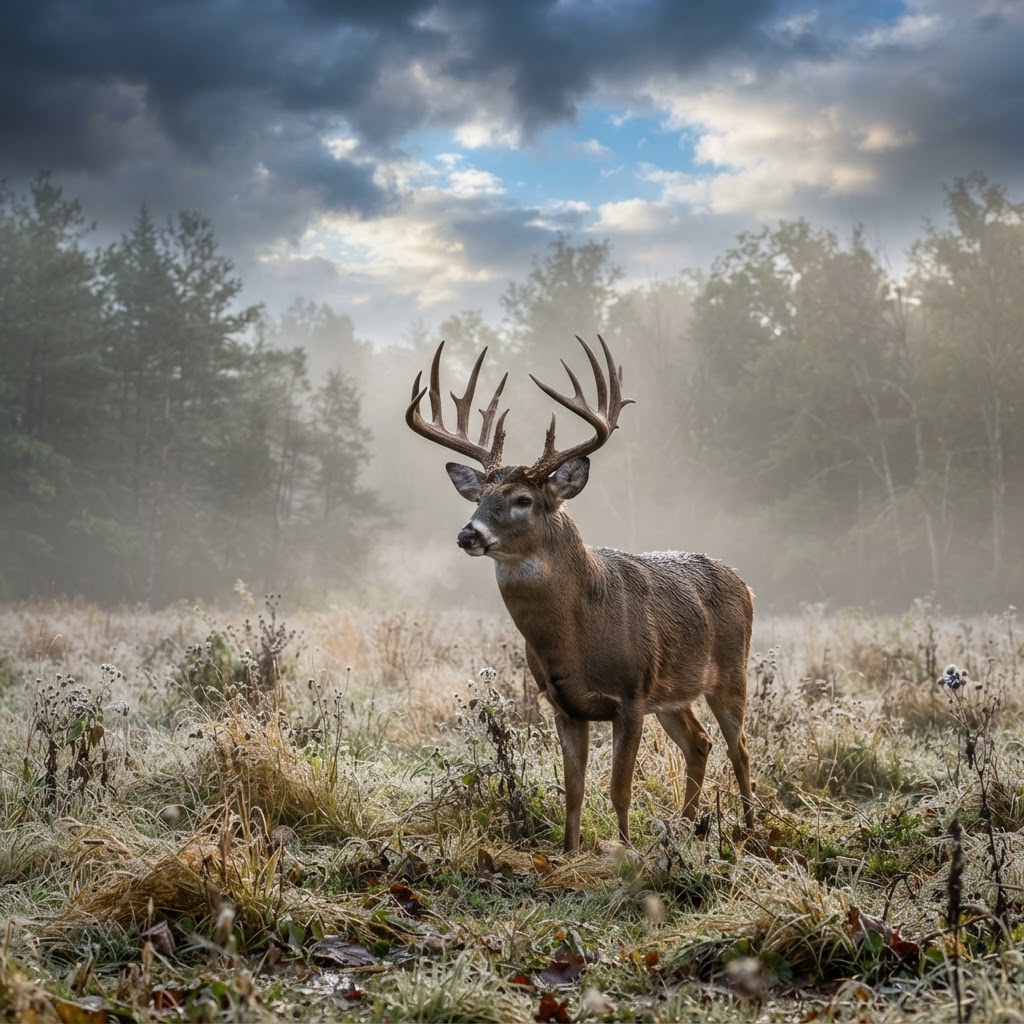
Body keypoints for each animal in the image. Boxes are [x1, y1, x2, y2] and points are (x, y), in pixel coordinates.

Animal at [406, 335, 755, 853]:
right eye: (479, 498)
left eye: (522, 500)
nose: (468, 534)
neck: (577, 637)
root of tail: (744, 581)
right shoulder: (564, 704)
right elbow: (574, 790)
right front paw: (569, 854)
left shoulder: (630, 696)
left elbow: (618, 789)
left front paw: (626, 851)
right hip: (674, 694)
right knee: (701, 743)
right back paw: (686, 827)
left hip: (731, 672)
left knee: (740, 747)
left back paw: (752, 829)